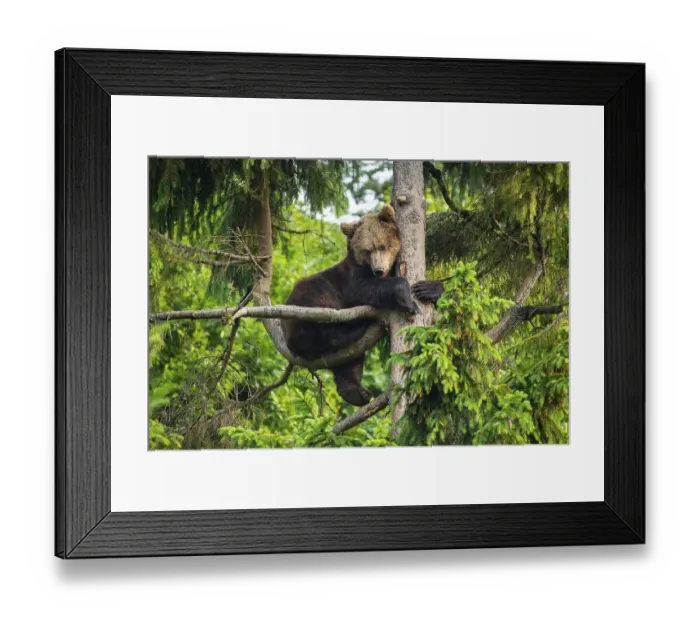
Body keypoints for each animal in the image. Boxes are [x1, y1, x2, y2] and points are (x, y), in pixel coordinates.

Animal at [281, 204, 444, 407]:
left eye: (382, 245)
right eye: (367, 250)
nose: (379, 270)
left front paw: (428, 289)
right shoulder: (351, 279)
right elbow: (364, 289)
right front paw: (408, 301)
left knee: (349, 363)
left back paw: (358, 393)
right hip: (306, 303)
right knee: (323, 323)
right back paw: (356, 327)